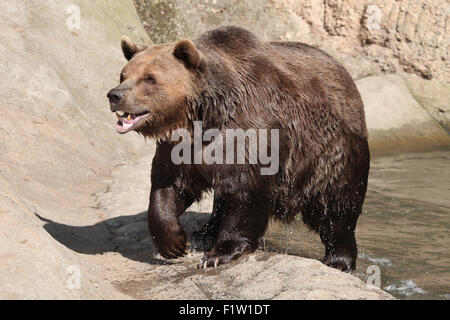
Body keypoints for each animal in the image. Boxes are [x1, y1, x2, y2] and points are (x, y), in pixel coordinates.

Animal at [108, 26, 370, 272]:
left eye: (150, 78)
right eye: (124, 74)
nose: (115, 95)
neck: (203, 120)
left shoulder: (250, 134)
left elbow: (246, 194)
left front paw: (217, 254)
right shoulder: (180, 149)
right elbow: (168, 186)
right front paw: (175, 243)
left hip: (330, 154)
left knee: (336, 209)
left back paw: (339, 260)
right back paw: (205, 231)